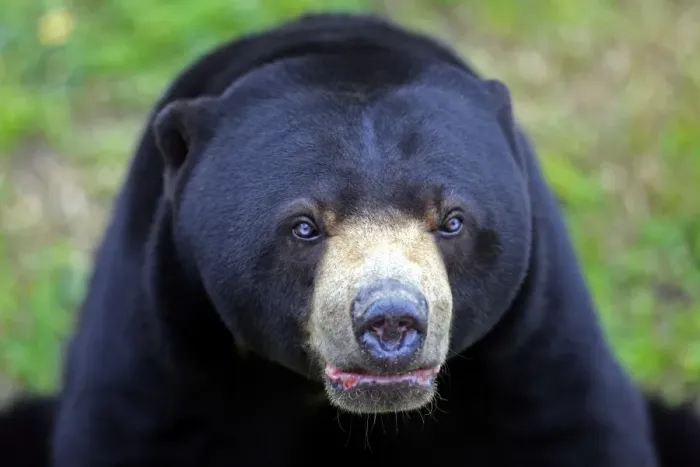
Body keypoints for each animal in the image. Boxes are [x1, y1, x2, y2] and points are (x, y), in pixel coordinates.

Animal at [1, 11, 699, 467]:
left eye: (452, 220)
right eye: (304, 226)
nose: (391, 322)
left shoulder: (535, 333)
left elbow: (572, 427)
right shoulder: (160, 339)